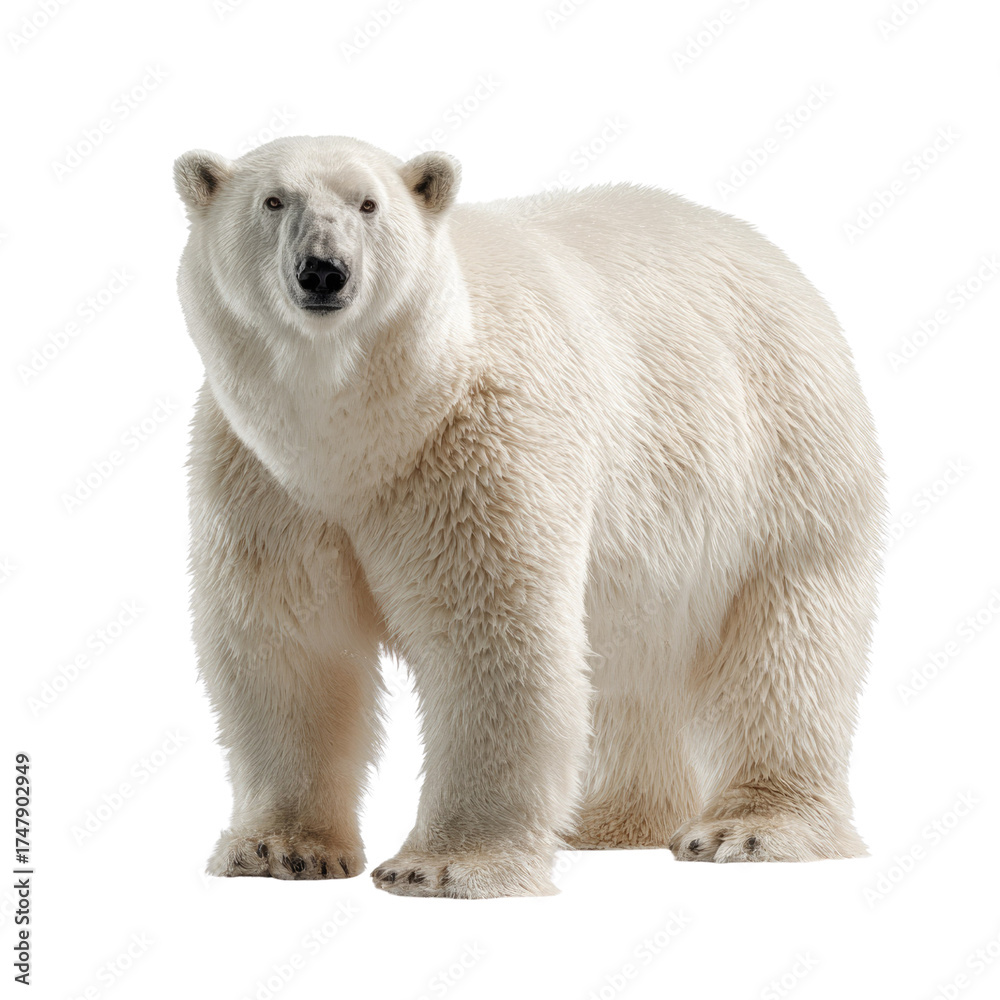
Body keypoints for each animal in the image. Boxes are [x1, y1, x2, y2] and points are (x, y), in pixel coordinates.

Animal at [174, 134, 884, 898]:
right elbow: (289, 645)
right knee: (632, 663)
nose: (324, 272)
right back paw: (609, 820)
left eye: (369, 204)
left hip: (782, 459)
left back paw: (747, 829)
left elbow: (491, 636)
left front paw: (445, 866)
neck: (364, 432)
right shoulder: (264, 479)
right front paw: (279, 851)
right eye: (273, 201)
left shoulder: (480, 445)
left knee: (787, 643)